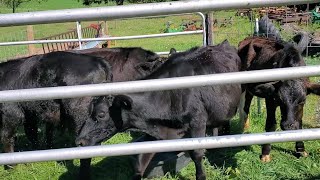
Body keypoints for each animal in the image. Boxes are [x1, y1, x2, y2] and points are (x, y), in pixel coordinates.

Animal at [75, 40, 242, 180]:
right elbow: (141, 161)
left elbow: (197, 154)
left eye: (101, 114)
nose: (79, 141)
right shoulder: (152, 128)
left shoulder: (197, 122)